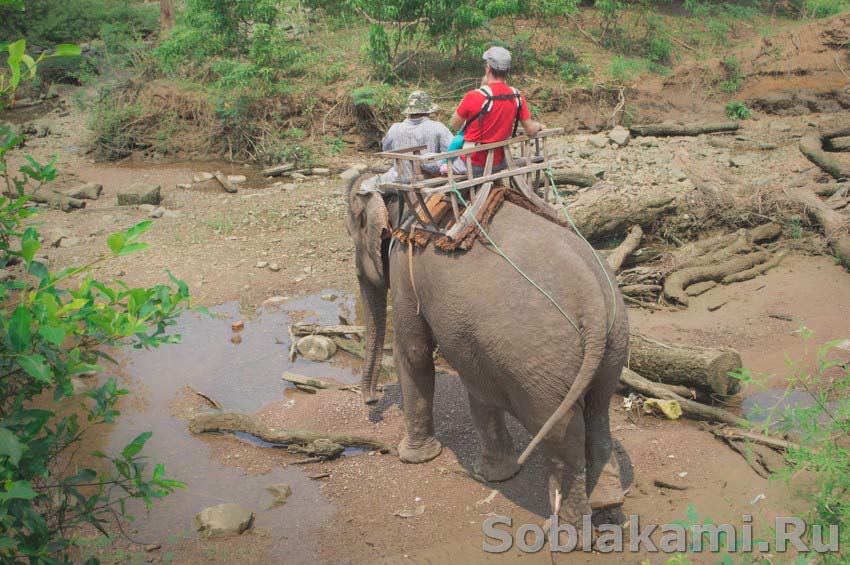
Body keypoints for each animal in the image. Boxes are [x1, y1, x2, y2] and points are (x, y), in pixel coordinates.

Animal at [344, 174, 628, 528]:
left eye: (351, 229)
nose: (371, 402)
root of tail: (593, 302)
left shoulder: (403, 266)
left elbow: (413, 351)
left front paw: (412, 457)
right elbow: (476, 387)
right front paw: (497, 473)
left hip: (538, 360)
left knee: (561, 430)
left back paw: (570, 523)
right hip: (612, 344)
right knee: (598, 411)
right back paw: (607, 502)